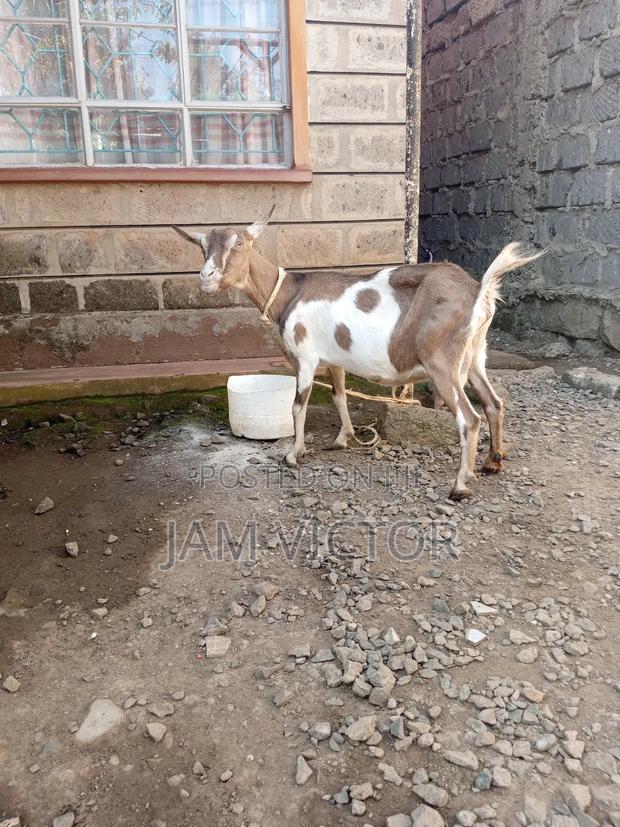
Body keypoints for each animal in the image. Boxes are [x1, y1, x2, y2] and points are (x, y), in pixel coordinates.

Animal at [174, 213, 542, 500]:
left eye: (239, 244)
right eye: (202, 247)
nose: (205, 278)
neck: (289, 292)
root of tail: (479, 292)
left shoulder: (305, 357)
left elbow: (298, 406)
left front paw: (294, 454)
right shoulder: (334, 359)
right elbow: (339, 397)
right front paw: (343, 439)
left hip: (442, 363)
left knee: (470, 418)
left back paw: (460, 485)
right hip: (476, 355)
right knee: (494, 403)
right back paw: (493, 462)